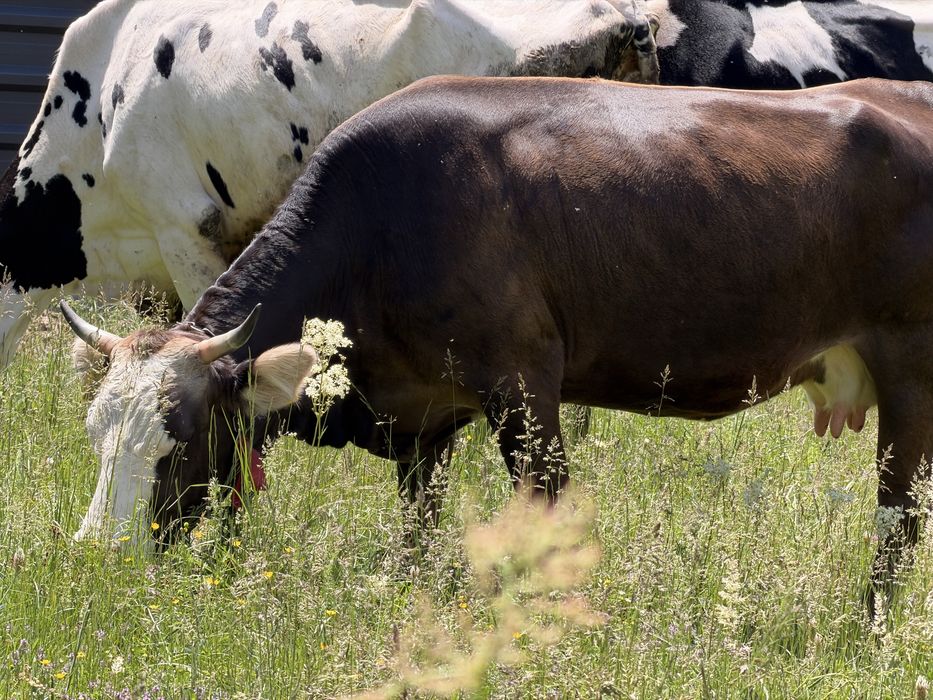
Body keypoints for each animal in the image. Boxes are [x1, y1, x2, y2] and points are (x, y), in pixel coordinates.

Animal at [62, 74, 933, 612]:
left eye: (179, 439)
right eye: (95, 435)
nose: (98, 557)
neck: (375, 230)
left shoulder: (521, 385)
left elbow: (546, 510)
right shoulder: (423, 422)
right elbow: (416, 534)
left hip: (910, 371)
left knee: (898, 517)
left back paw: (867, 626)